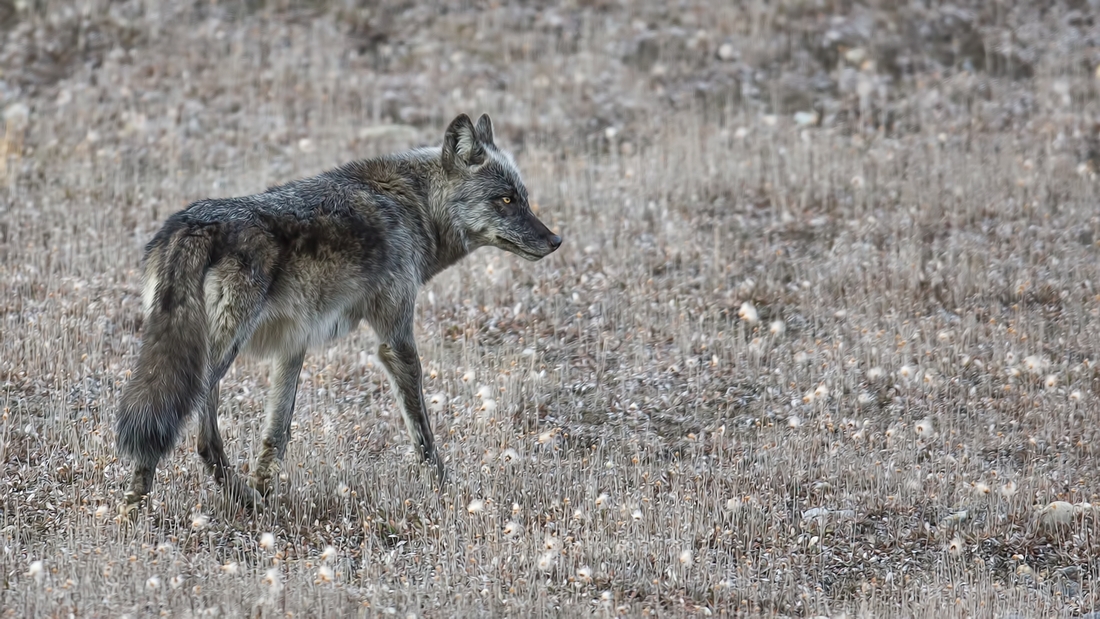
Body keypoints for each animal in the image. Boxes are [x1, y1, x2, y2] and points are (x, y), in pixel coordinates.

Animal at [116, 113, 563, 510]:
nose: (555, 240)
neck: (412, 207)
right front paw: (444, 490)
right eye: (505, 200)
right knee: (200, 437)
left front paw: (267, 497)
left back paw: (139, 510)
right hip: (214, 358)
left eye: (523, 198)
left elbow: (276, 437)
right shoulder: (395, 339)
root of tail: (192, 224)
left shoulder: (293, 347)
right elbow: (423, 433)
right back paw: (232, 501)